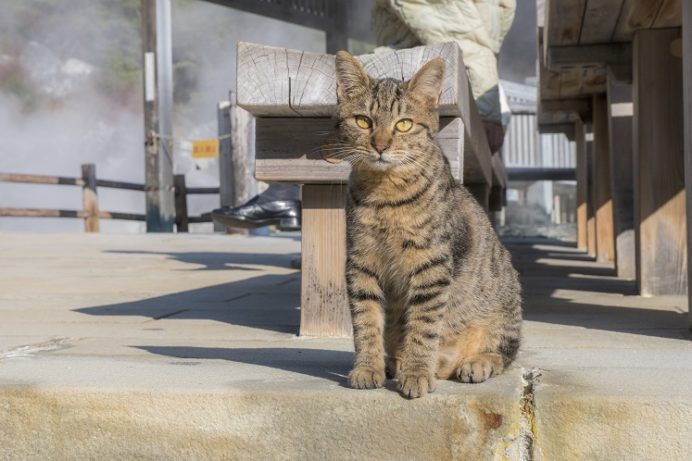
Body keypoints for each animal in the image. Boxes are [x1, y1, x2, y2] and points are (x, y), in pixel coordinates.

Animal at [330, 48, 520, 398]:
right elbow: (366, 322)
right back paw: (393, 362)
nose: (380, 145)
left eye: (404, 124)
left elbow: (423, 324)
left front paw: (417, 371)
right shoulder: (360, 263)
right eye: (363, 121)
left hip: (505, 306)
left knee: (504, 352)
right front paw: (367, 367)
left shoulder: (431, 265)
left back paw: (474, 363)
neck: (385, 195)